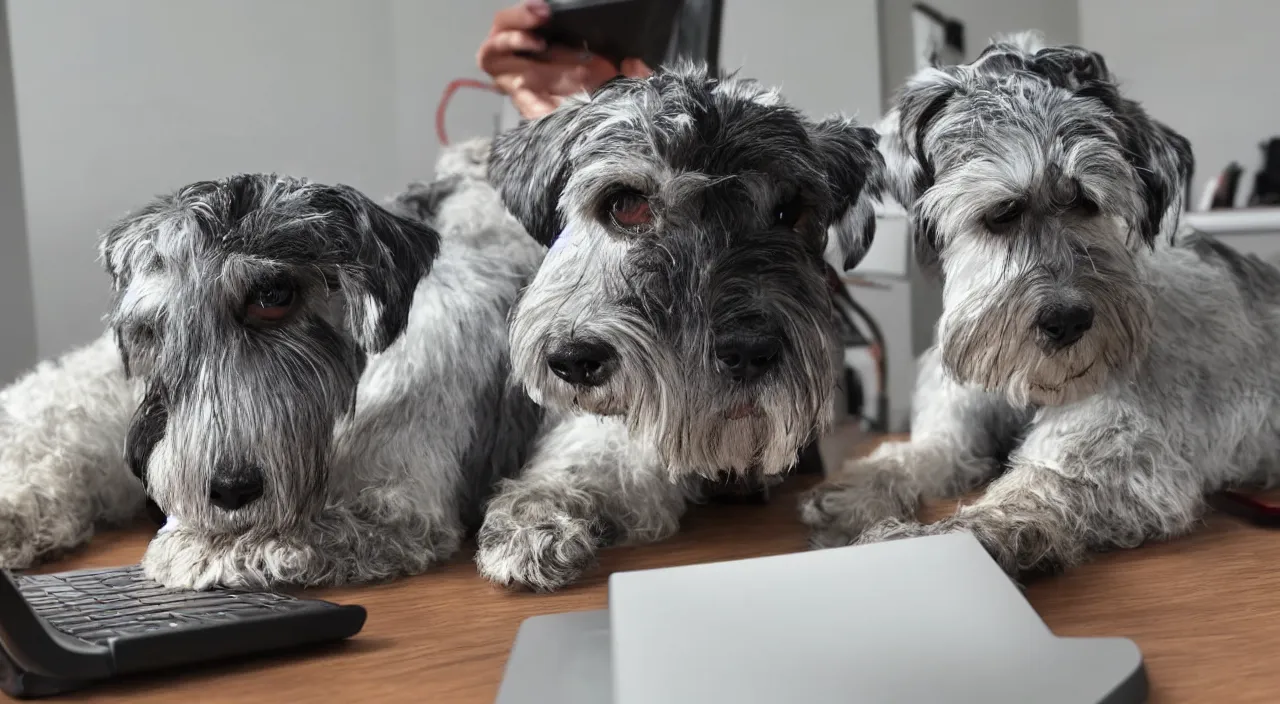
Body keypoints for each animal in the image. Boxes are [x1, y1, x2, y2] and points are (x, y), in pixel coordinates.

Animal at [0, 143, 545, 591]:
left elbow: (291, 534)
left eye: (273, 295)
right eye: (151, 327)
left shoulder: (390, 501)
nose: (230, 490)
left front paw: (199, 545)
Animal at [798, 34, 1280, 578]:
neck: (1024, 386)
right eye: (1002, 211)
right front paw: (855, 491)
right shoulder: (957, 428)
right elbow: (919, 452)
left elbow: (1008, 507)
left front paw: (909, 549)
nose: (1068, 321)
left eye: (1088, 201)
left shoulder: (1118, 458)